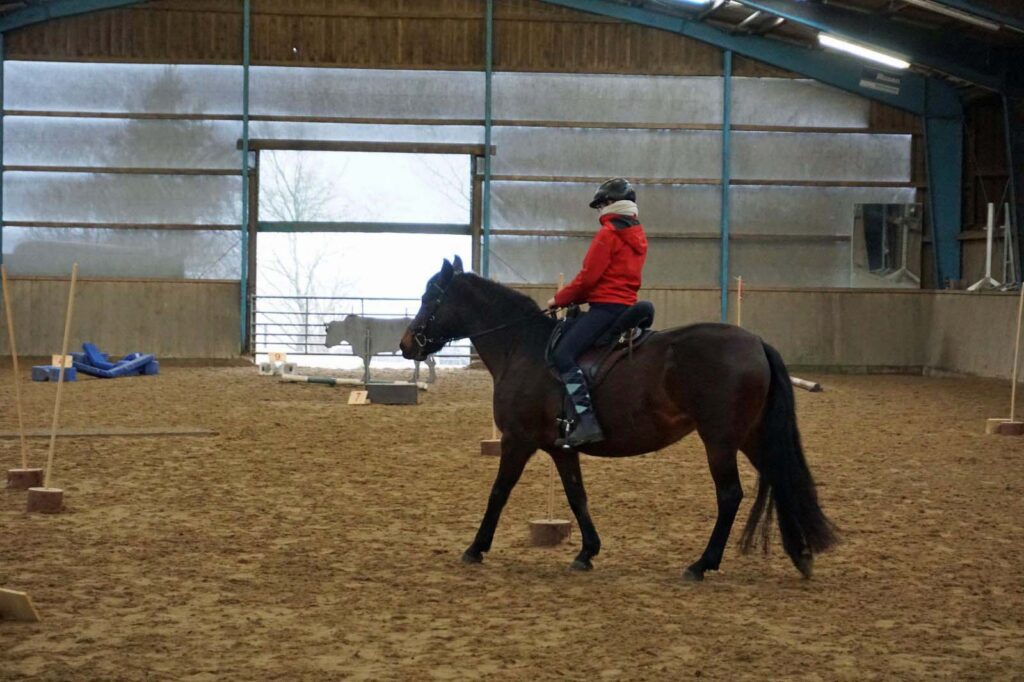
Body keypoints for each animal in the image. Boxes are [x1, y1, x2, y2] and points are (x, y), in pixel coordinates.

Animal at [395, 256, 835, 577]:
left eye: (431, 297)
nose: (406, 344)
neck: (522, 347)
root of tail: (755, 342)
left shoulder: (517, 441)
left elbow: (499, 492)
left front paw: (476, 547)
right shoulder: (561, 448)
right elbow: (576, 496)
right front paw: (587, 552)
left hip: (721, 440)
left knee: (730, 495)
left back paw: (702, 564)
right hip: (751, 436)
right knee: (780, 478)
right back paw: (800, 554)